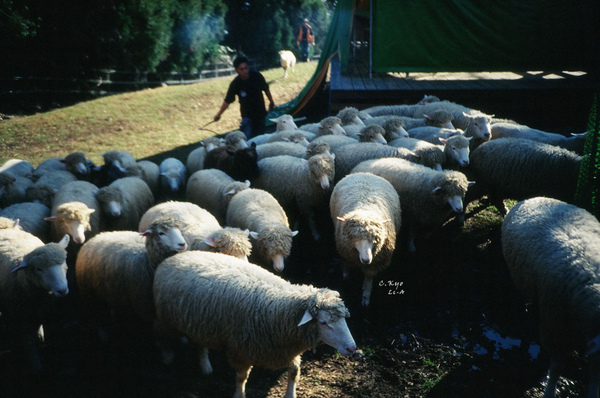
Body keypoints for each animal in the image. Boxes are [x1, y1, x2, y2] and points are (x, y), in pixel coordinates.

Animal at [0, 230, 69, 374]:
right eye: (39, 269)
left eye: (63, 263)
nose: (62, 290)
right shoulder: (21, 318)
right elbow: (28, 343)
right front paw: (36, 366)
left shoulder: (45, 312)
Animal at [152, 250, 356, 398]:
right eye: (323, 322)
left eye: (344, 319)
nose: (352, 348)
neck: (278, 309)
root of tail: (177, 255)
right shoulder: (240, 349)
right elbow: (241, 378)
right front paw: (239, 395)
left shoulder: (284, 348)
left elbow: (294, 371)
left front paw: (290, 394)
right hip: (165, 318)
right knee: (162, 335)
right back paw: (167, 357)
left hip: (199, 322)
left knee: (200, 343)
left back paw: (205, 367)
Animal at [330, 173, 400, 306]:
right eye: (354, 237)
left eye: (375, 238)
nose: (366, 259)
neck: (365, 209)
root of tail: (365, 173)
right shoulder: (347, 252)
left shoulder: (377, 261)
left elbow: (368, 277)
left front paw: (366, 297)